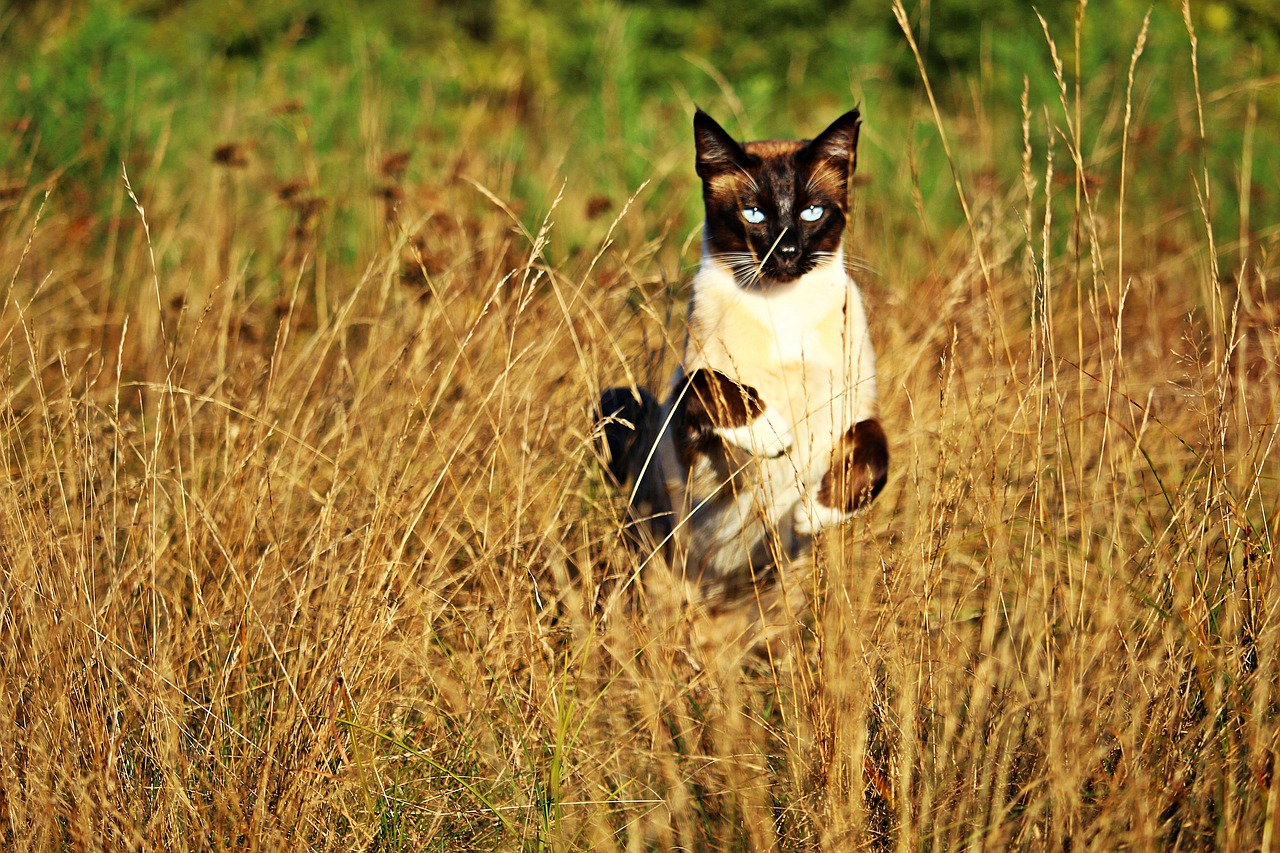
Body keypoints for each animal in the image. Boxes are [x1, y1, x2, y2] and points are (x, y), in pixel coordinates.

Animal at [593, 106, 885, 612]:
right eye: (754, 214)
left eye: (811, 212)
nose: (786, 252)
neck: (784, 309)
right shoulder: (696, 455)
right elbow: (710, 383)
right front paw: (771, 432)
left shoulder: (854, 412)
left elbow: (876, 454)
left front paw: (814, 512)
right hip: (622, 404)